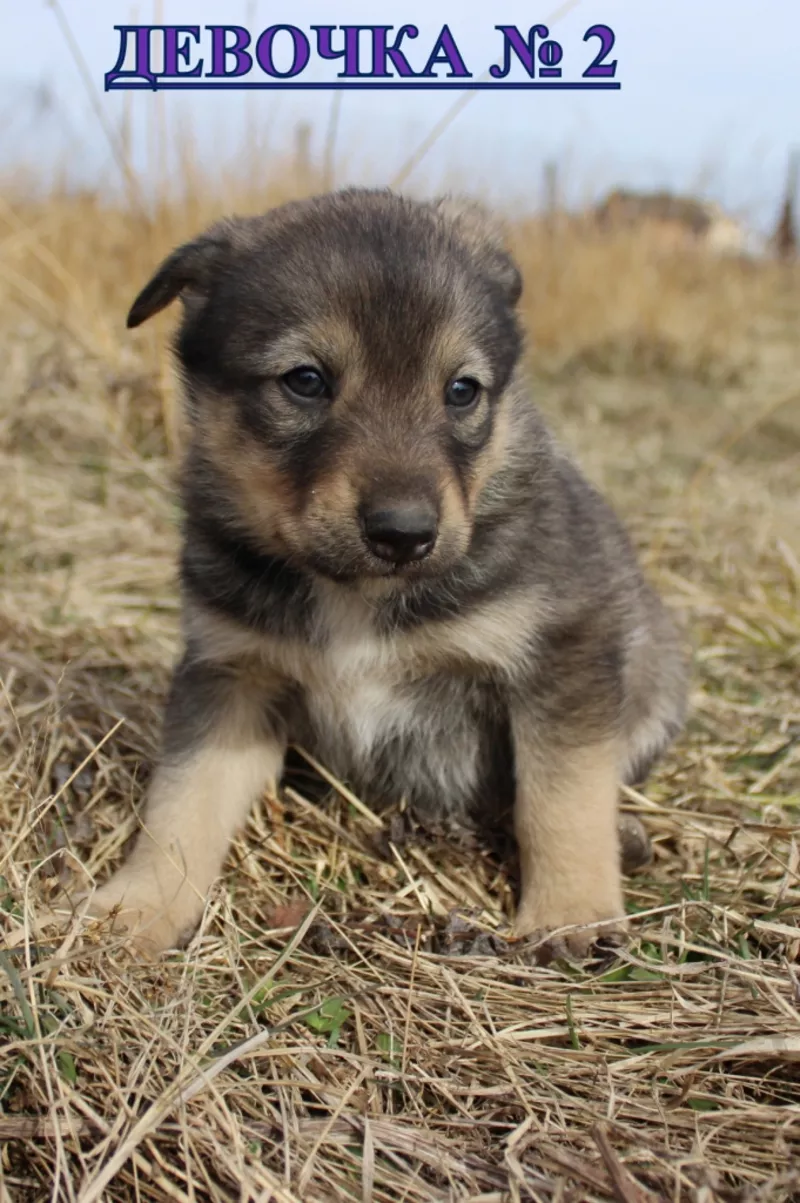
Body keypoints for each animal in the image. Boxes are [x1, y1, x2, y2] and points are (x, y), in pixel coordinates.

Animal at [86, 187, 688, 957]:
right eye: (305, 381)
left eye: (462, 390)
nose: (404, 534)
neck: (354, 592)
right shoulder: (231, 673)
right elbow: (182, 800)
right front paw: (137, 907)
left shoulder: (564, 655)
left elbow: (563, 794)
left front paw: (571, 915)